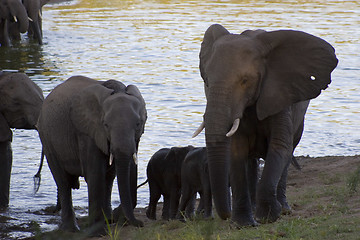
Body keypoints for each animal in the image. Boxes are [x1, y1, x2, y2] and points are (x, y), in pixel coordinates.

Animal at [37, 76, 148, 233]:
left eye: (138, 124)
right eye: (106, 125)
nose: (140, 223)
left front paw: (108, 223)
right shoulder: (87, 132)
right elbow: (95, 174)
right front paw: (98, 232)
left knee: (108, 178)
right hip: (47, 138)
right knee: (62, 181)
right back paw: (71, 229)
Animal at [194, 24, 338, 227]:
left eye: (245, 80)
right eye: (206, 81)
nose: (225, 215)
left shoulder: (281, 95)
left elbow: (279, 146)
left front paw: (268, 217)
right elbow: (237, 151)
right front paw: (244, 224)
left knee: (288, 153)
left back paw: (284, 209)